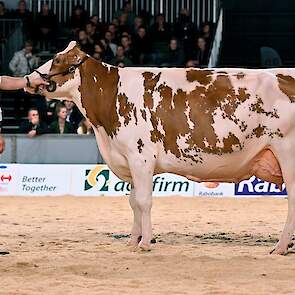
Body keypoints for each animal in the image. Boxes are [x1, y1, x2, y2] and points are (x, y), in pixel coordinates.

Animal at [28, 41, 295, 254]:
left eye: (58, 59)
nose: (30, 78)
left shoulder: (140, 156)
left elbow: (144, 201)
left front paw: (145, 242)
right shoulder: (130, 161)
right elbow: (133, 201)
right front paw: (132, 241)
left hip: (287, 154)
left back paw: (280, 247)